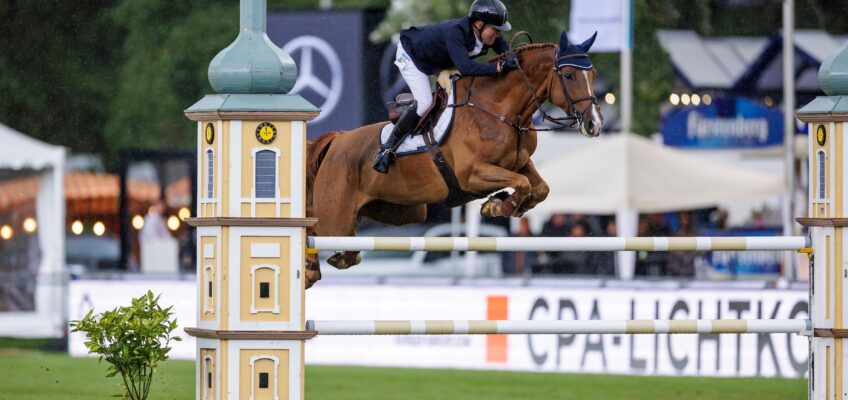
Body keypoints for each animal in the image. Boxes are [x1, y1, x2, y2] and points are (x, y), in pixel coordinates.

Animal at [304, 31, 604, 288]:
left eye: (593, 74)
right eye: (568, 75)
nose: (594, 124)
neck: (499, 109)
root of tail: (337, 141)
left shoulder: (519, 163)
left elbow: (539, 188)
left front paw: (501, 204)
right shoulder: (472, 174)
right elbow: (523, 183)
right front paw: (500, 206)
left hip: (399, 211)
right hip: (336, 219)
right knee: (313, 230)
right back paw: (311, 270)